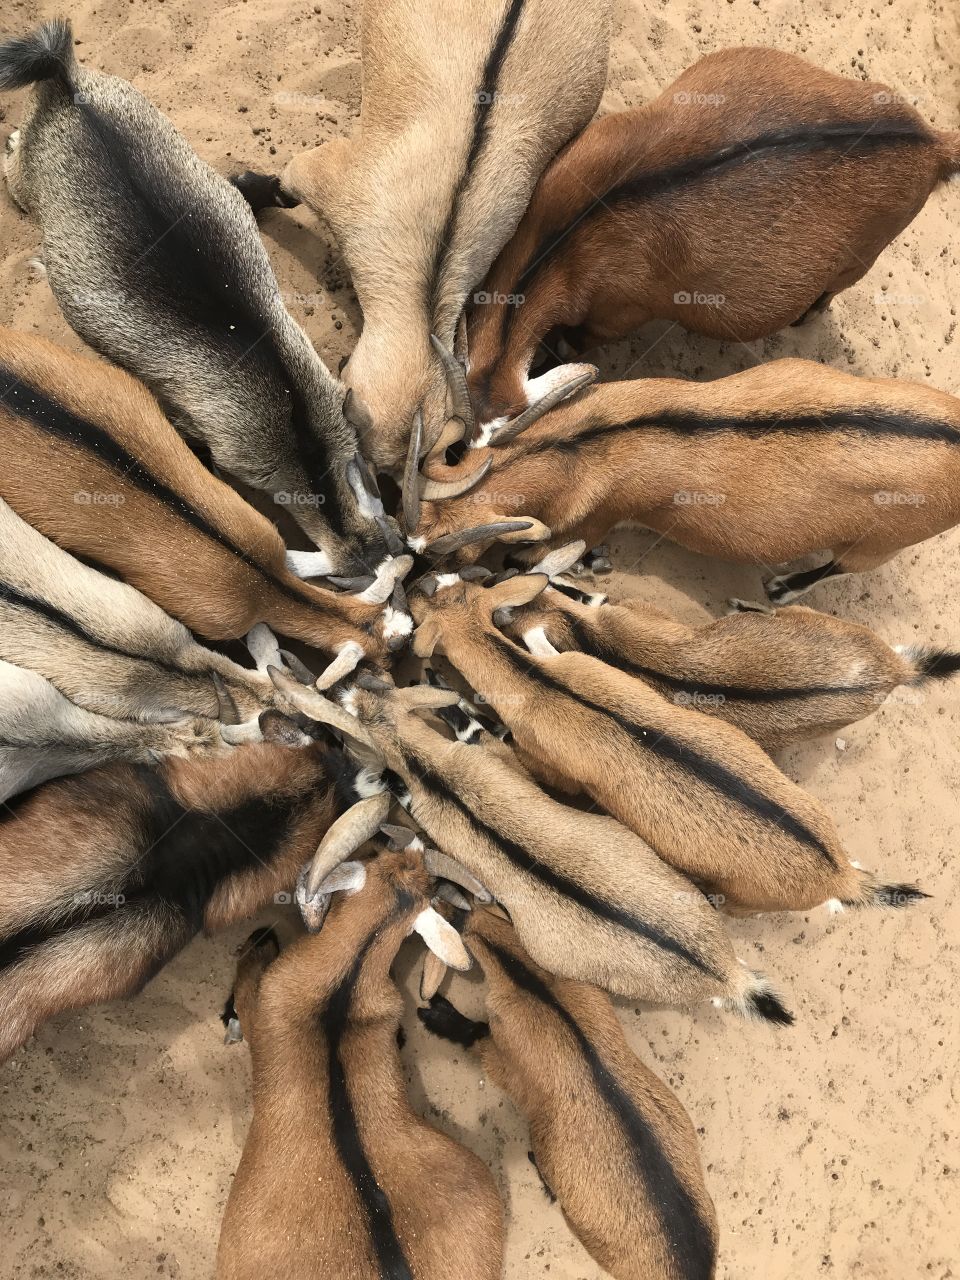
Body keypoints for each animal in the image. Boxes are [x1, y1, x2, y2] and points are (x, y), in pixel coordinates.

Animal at [410, 570, 927, 914]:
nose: (416, 588)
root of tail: (837, 872)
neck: (539, 683)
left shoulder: (548, 764)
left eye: (427, 613)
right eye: (455, 593)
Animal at [411, 358, 960, 599]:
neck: (587, 445)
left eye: (459, 554)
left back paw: (781, 587)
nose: (415, 576)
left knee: (837, 568)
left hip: (877, 545)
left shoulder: (596, 518)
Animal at [464, 45, 960, 429]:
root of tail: (932, 142)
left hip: (861, 258)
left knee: (833, 288)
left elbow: (576, 342)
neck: (569, 238)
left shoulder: (617, 313)